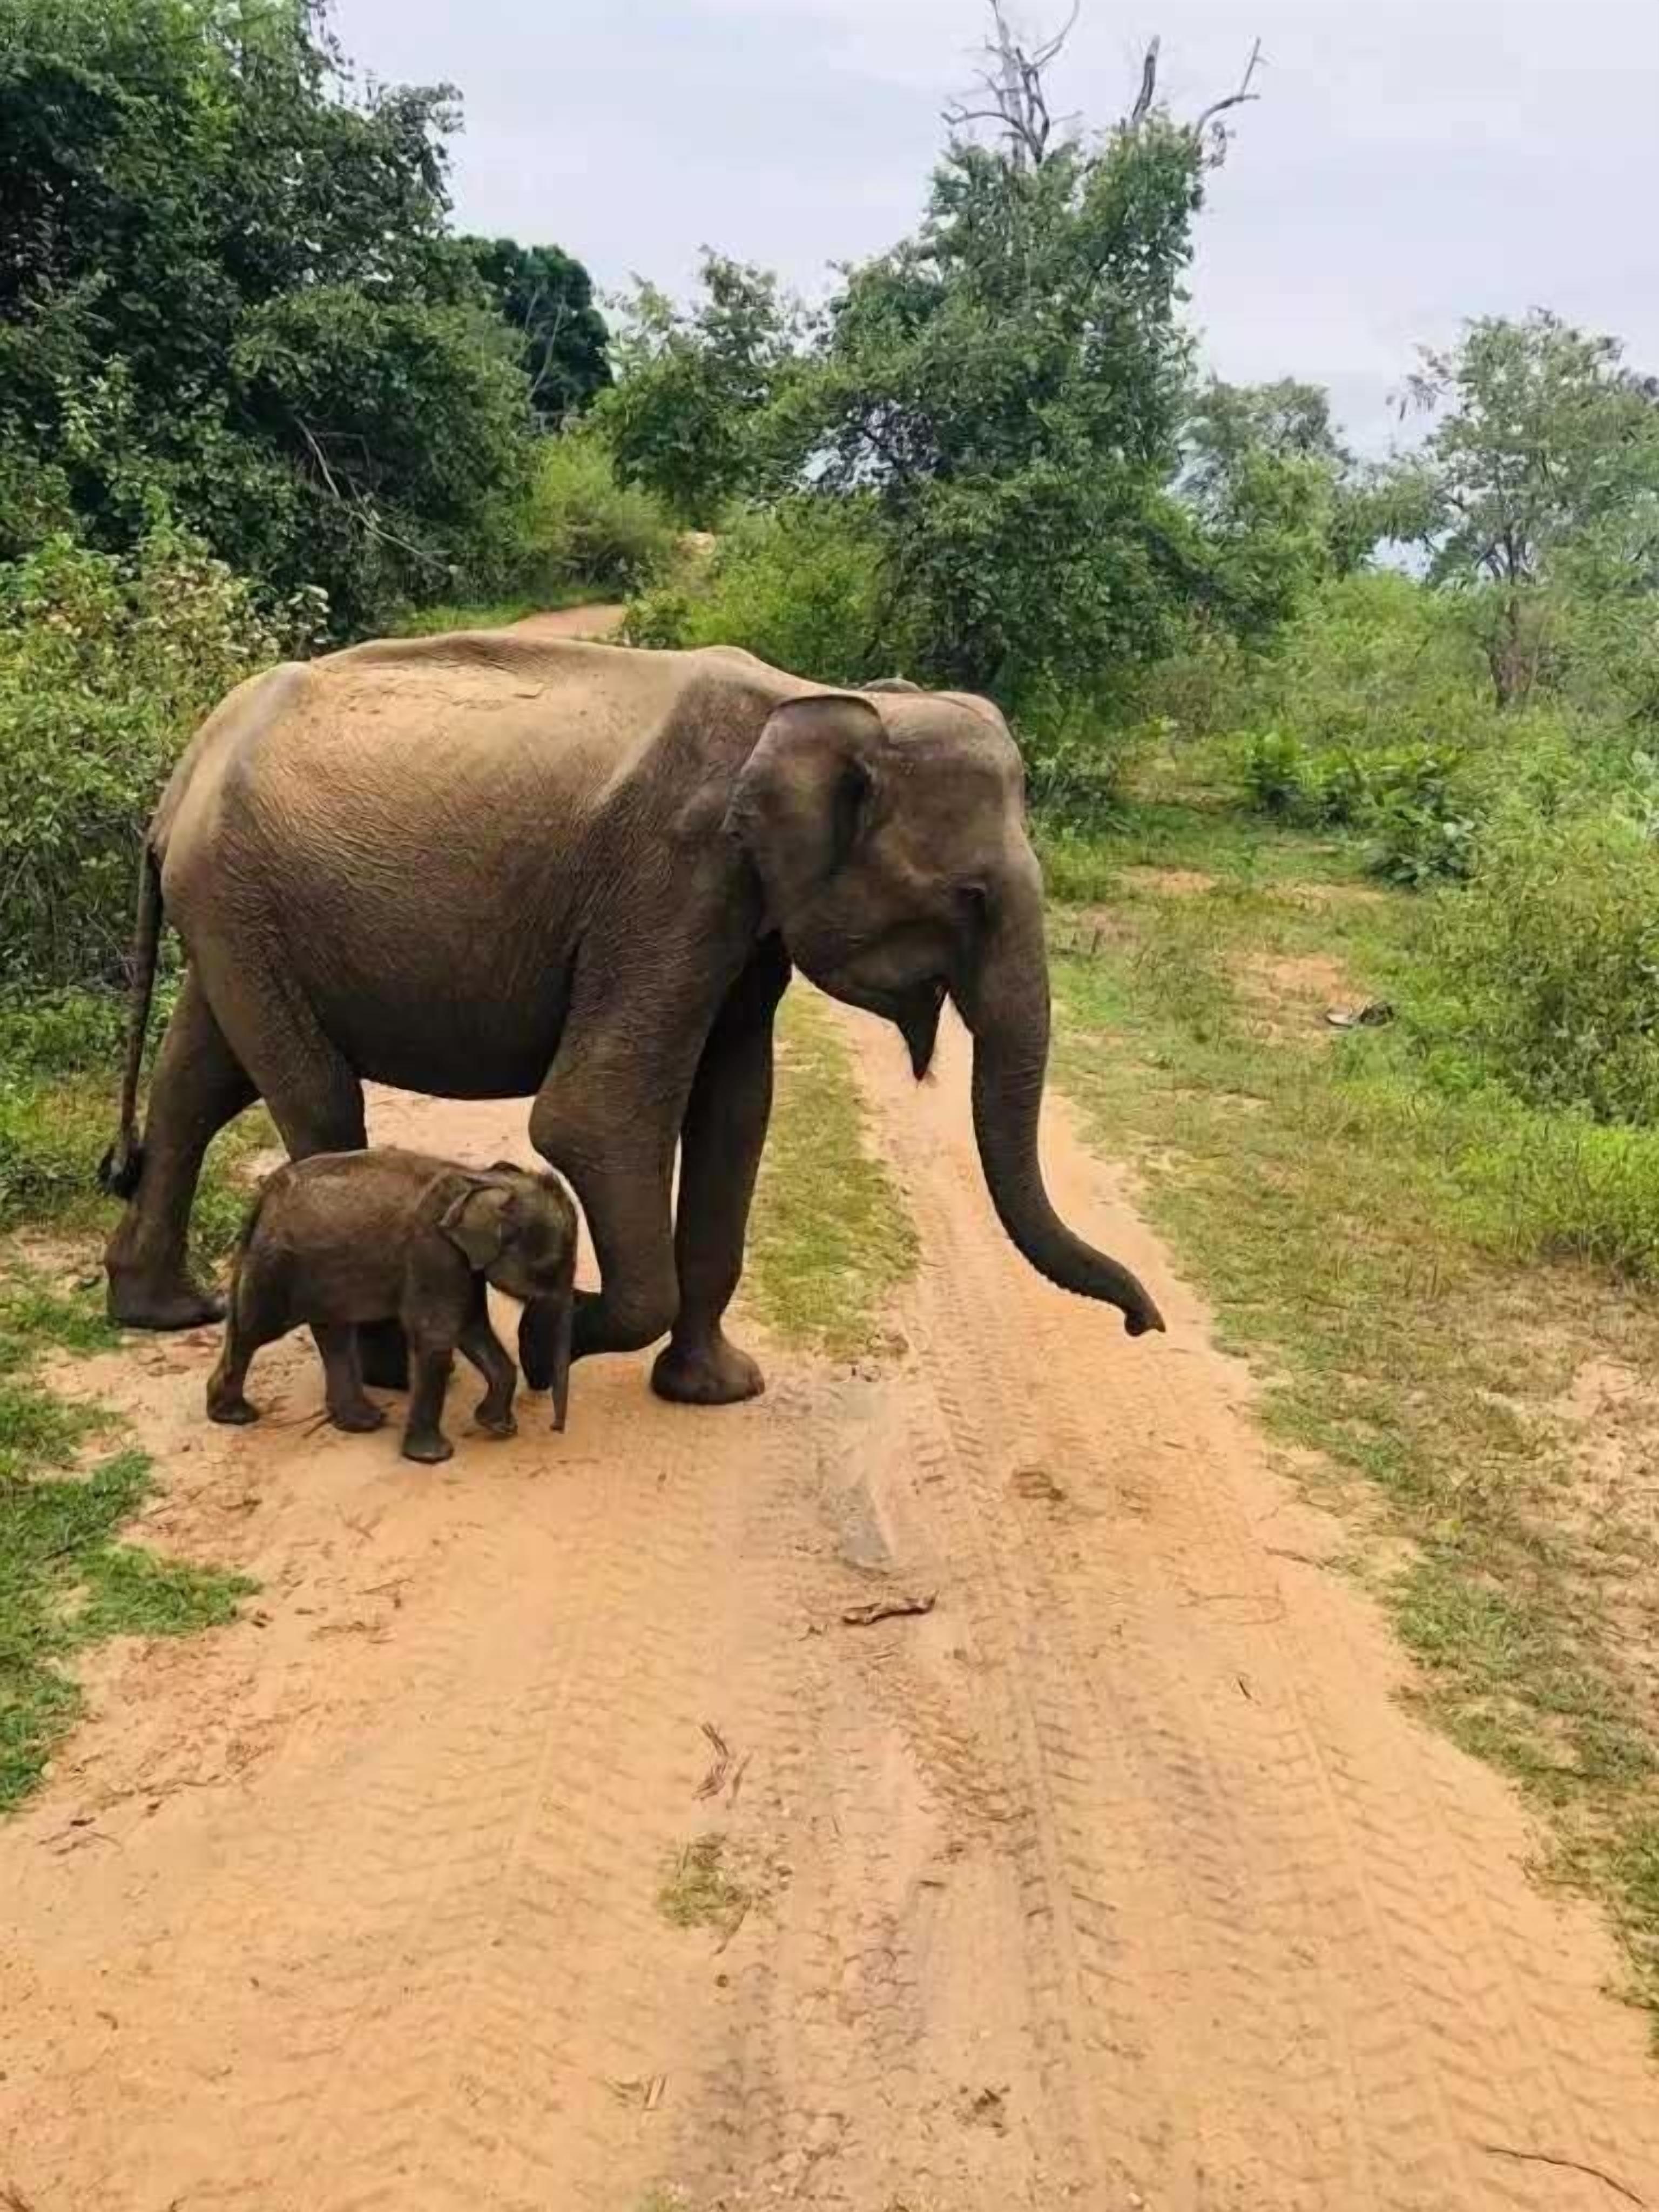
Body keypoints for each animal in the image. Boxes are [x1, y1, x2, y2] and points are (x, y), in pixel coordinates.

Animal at [101, 631, 1165, 1407]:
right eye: (972, 898)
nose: (1144, 1326)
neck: (818, 698)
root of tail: (180, 777)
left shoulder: (743, 916)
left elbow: (738, 1106)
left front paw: (716, 1393)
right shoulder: (674, 881)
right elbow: (594, 1115)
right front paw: (545, 1344)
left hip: (232, 911)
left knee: (200, 1078)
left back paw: (165, 1309)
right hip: (241, 897)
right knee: (317, 1101)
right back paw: (385, 1369)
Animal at [207, 1149, 579, 1460]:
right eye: (548, 1270)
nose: (556, 1428)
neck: (482, 1180)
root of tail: (264, 1194)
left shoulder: (460, 1263)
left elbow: (471, 1328)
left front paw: (497, 1426)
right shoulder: (433, 1250)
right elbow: (437, 1334)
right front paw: (433, 1458)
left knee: (332, 1332)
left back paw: (362, 1423)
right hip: (277, 1262)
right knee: (254, 1330)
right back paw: (233, 1416)